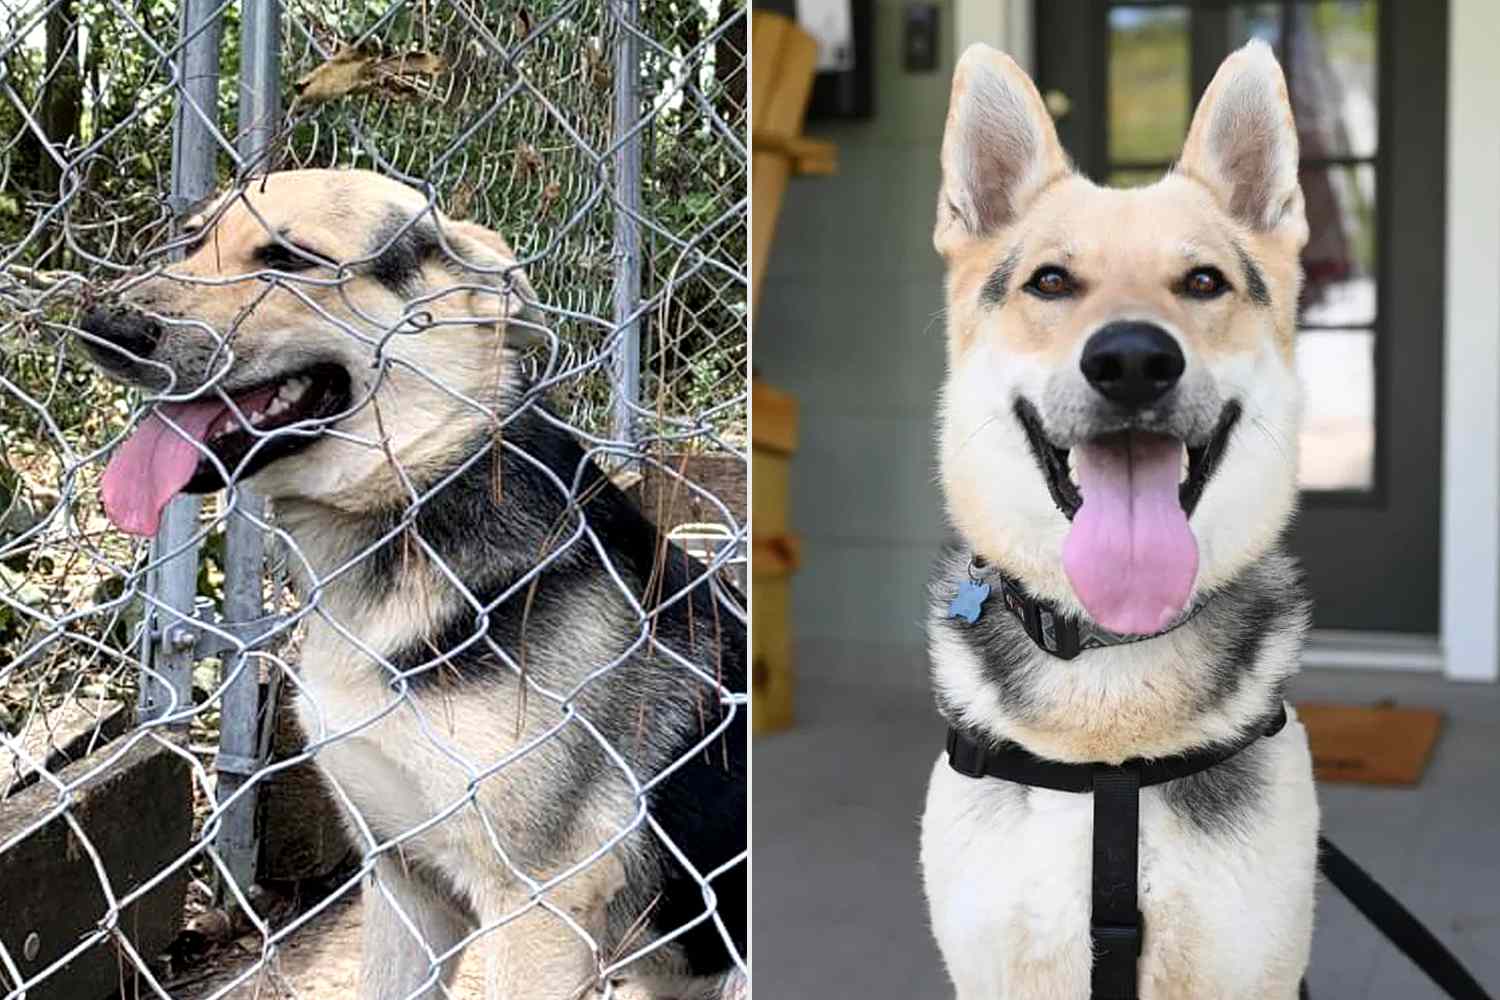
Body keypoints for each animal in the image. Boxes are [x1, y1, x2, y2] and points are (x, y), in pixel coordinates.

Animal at [0, 1, 750, 995]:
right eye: (190, 241)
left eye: (287, 259)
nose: (101, 326)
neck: (408, 507)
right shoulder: (401, 882)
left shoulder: (539, 910)